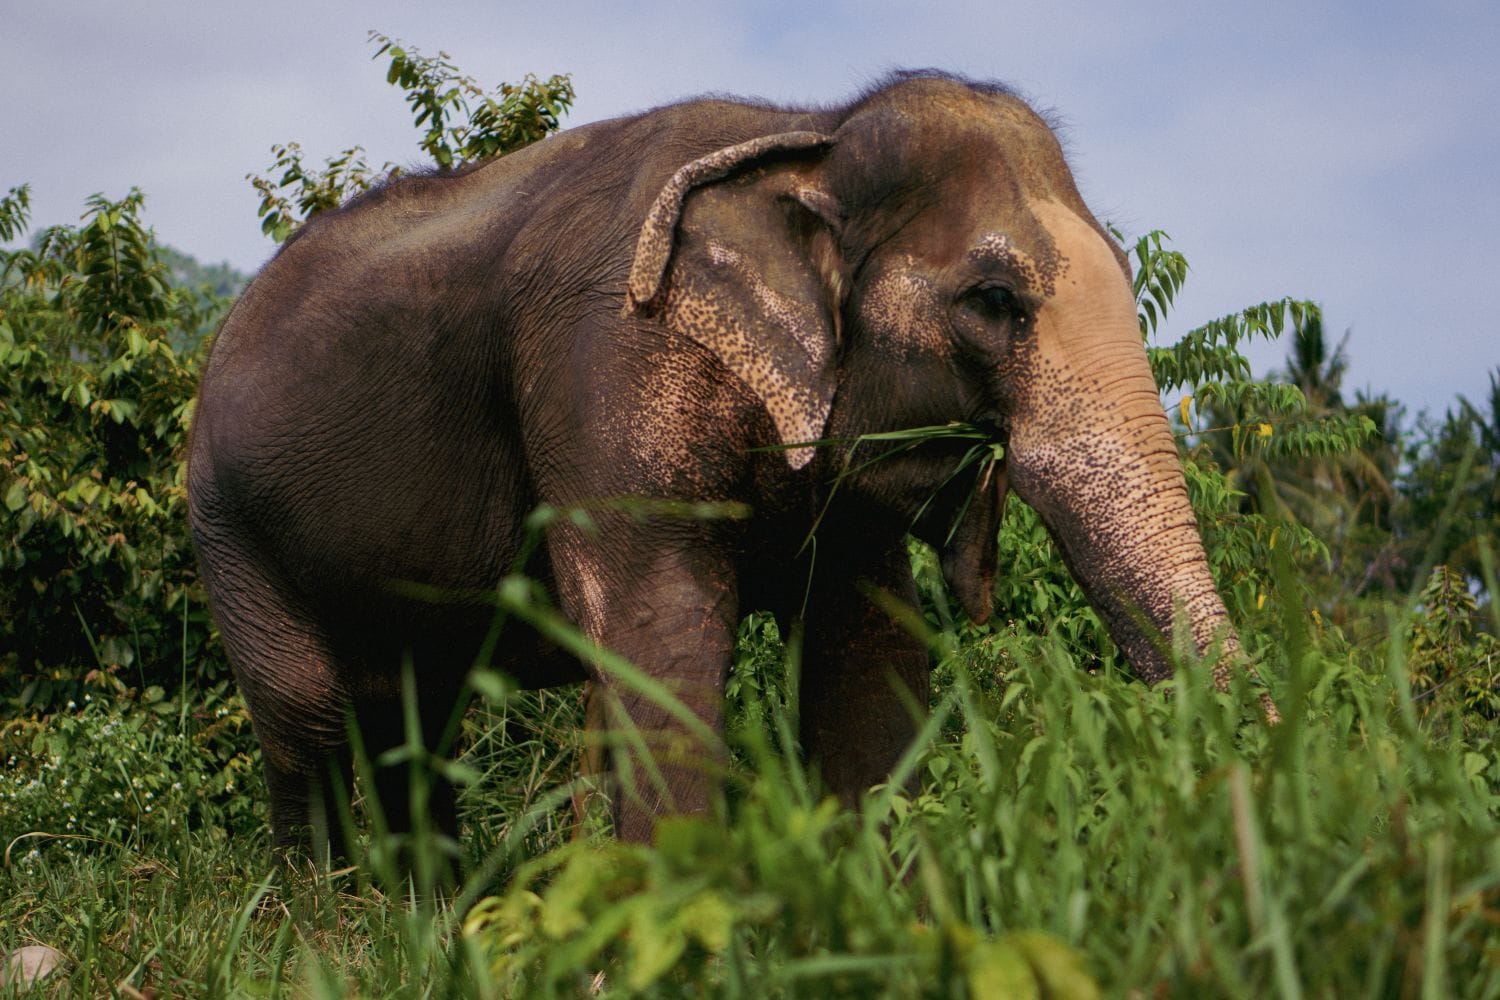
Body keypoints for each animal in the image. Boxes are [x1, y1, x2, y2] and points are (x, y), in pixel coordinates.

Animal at [188, 70, 1268, 858]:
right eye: (995, 299)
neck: (810, 136)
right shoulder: (610, 368)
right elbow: (660, 640)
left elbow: (865, 662)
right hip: (229, 530)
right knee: (308, 721)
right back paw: (325, 927)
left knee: (414, 729)